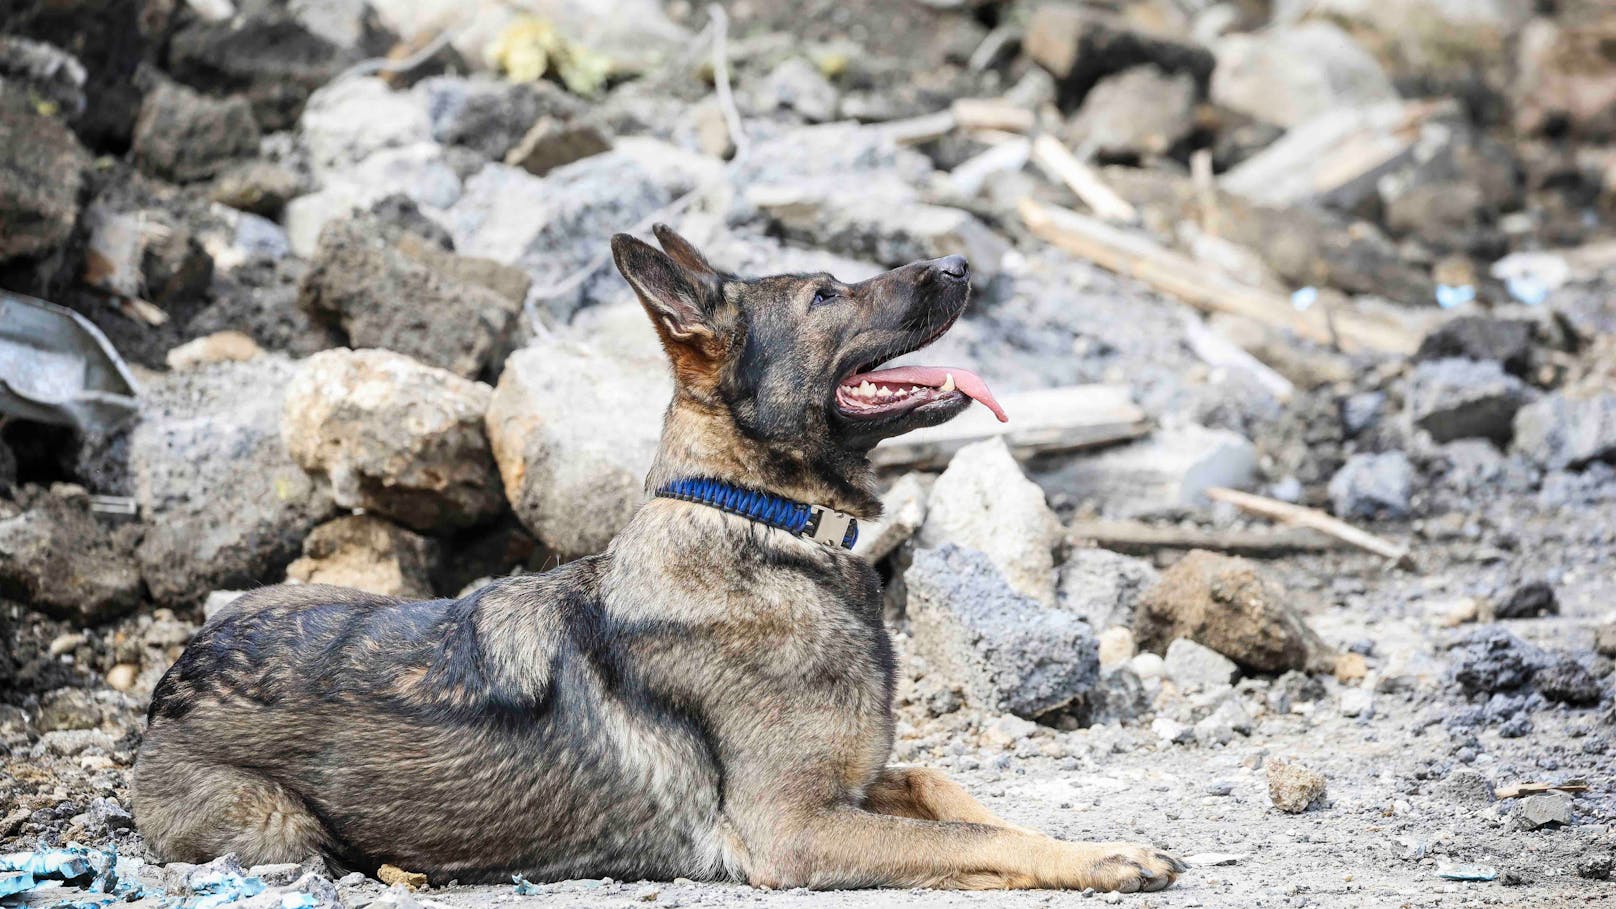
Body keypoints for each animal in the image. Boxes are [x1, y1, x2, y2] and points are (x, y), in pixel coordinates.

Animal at [129, 223, 1189, 886]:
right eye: (826, 294)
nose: (963, 262)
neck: (762, 522)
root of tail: (169, 678)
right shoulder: (795, 830)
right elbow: (965, 832)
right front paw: (1095, 860)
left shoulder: (852, 789)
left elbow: (950, 791)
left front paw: (1078, 840)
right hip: (279, 828)